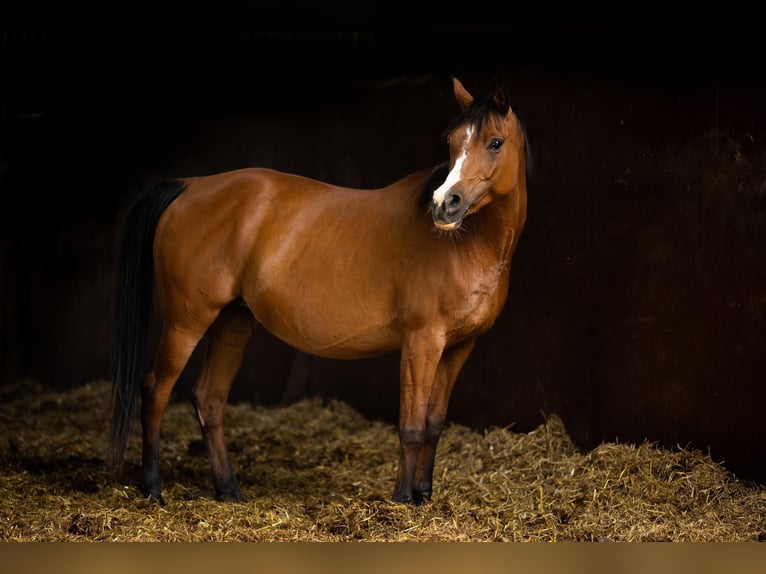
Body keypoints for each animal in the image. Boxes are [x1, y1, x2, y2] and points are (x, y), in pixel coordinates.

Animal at [111, 75, 532, 504]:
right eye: (451, 142)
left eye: (495, 142)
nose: (444, 204)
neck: (465, 246)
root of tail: (190, 186)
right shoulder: (422, 341)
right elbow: (411, 426)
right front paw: (403, 499)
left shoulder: (458, 347)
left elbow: (433, 423)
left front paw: (424, 495)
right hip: (186, 323)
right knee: (155, 391)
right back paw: (152, 488)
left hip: (233, 322)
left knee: (209, 399)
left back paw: (229, 489)